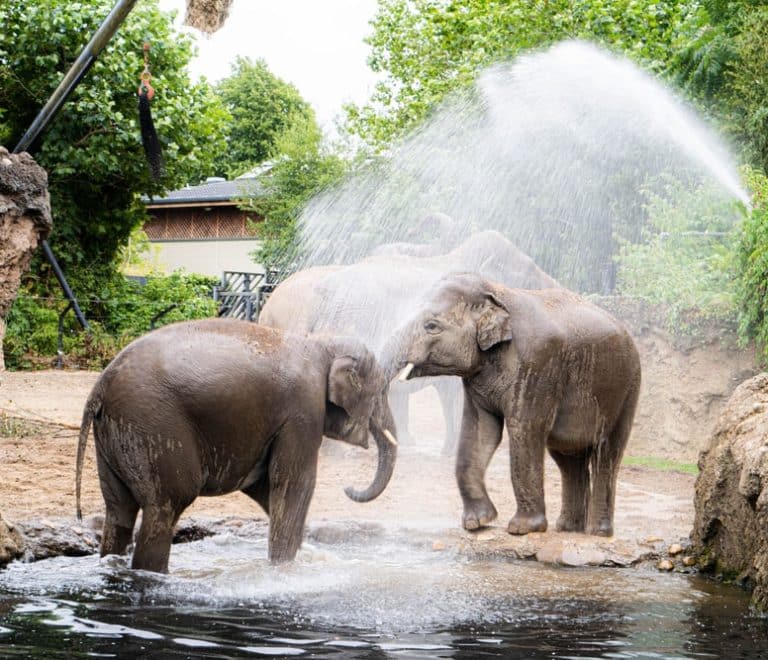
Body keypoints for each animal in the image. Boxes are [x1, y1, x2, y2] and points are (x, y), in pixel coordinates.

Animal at [73, 316, 396, 572]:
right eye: (383, 390)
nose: (348, 488)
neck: (321, 343)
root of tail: (99, 386)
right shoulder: (302, 412)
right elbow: (293, 484)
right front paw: (283, 571)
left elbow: (263, 488)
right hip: (151, 423)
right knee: (166, 505)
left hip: (116, 435)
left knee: (119, 510)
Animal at [392, 274, 640, 536]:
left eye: (431, 326)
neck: (495, 292)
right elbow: (480, 430)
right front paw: (477, 523)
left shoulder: (537, 366)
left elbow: (524, 429)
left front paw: (521, 529)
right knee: (568, 458)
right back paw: (568, 528)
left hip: (627, 390)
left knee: (606, 454)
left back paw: (597, 532)